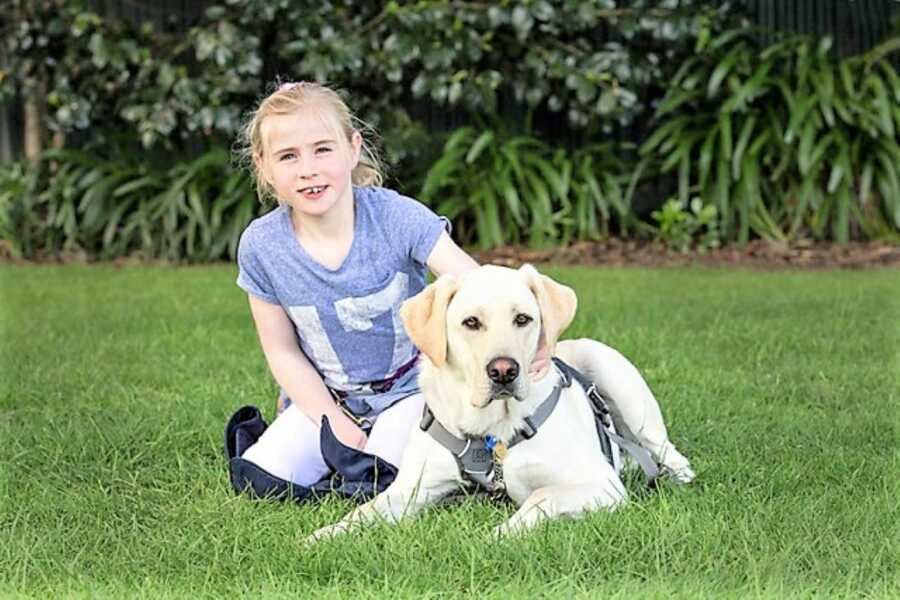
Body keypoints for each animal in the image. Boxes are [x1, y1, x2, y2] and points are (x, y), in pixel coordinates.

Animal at [312, 266, 696, 540]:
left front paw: (497, 535)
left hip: (616, 379)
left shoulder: (600, 483)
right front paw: (323, 536)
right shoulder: (411, 489)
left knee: (668, 452)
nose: (503, 371)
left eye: (522, 319)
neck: (490, 431)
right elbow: (363, 512)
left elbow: (542, 496)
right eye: (470, 322)